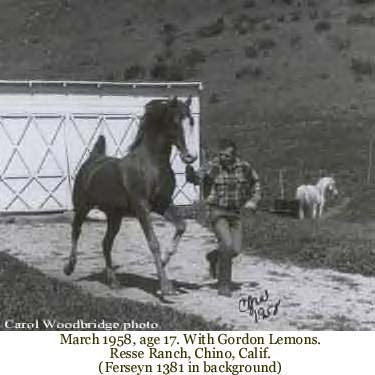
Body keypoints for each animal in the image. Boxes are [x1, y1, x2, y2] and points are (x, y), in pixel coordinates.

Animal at [63, 97, 197, 296]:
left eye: (191, 121)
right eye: (175, 122)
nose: (190, 157)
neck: (151, 166)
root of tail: (93, 158)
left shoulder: (163, 204)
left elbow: (181, 226)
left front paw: (165, 262)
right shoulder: (142, 207)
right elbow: (153, 242)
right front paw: (165, 287)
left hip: (114, 217)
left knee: (105, 243)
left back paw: (113, 282)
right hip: (82, 207)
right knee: (76, 230)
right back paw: (69, 268)